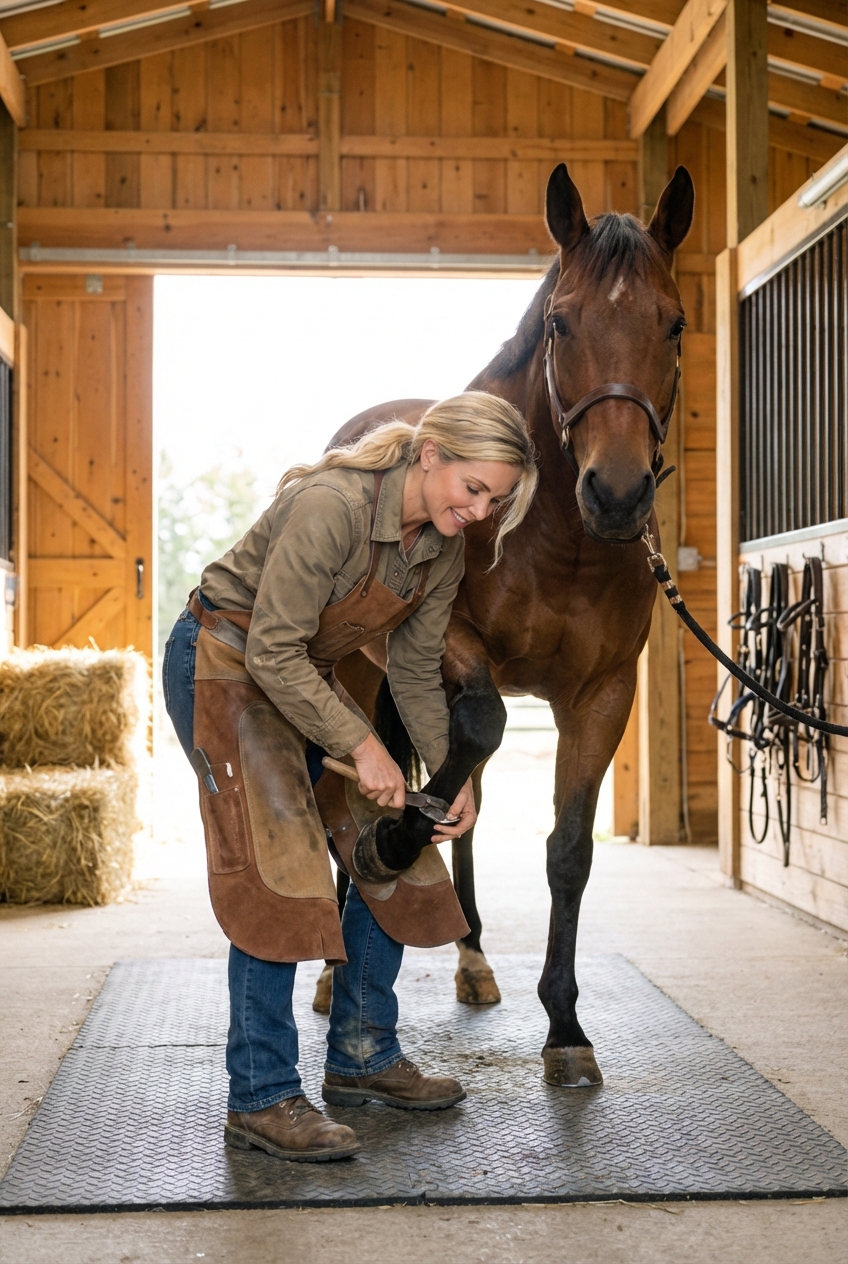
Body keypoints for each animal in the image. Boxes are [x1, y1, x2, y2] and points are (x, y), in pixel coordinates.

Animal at [318, 161, 694, 1087]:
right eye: (561, 321)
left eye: (673, 323)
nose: (618, 495)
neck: (558, 539)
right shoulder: (453, 654)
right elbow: (476, 731)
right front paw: (393, 842)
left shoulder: (601, 696)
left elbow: (568, 849)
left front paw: (565, 1026)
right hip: (357, 672)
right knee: (349, 792)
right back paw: (333, 961)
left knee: (471, 803)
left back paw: (474, 956)